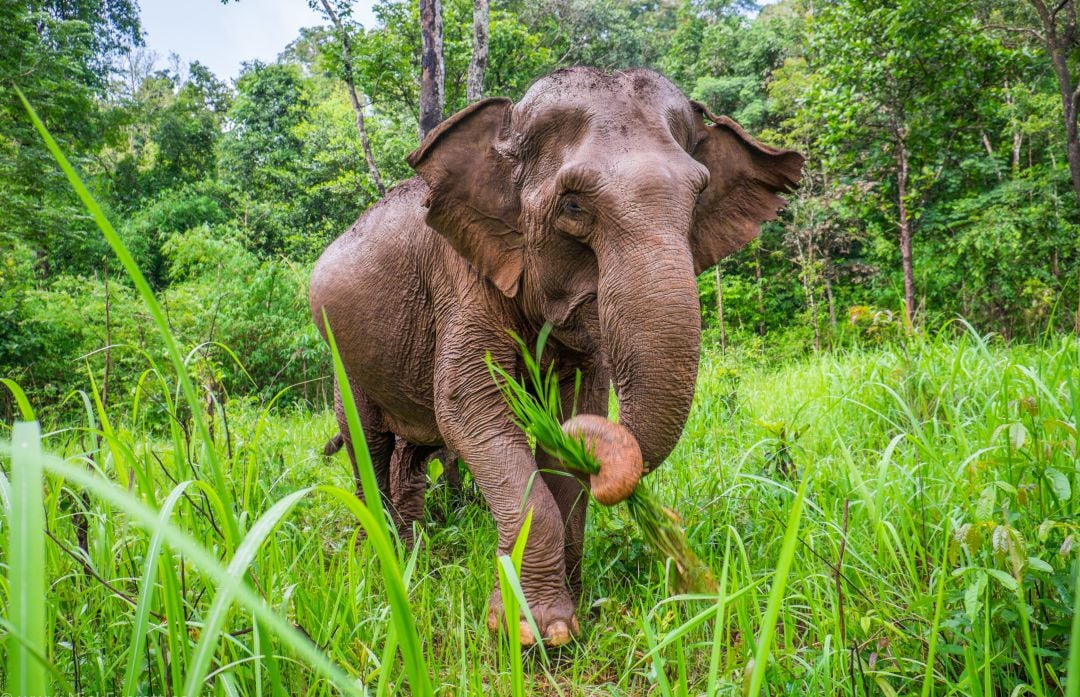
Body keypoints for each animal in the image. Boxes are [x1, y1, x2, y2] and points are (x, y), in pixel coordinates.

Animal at [313, 66, 803, 648]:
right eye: (572, 205)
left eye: (699, 196)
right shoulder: (461, 279)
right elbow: (469, 410)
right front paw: (530, 632)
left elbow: (573, 416)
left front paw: (572, 612)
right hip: (343, 361)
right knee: (370, 445)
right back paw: (388, 558)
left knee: (408, 457)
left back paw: (416, 556)